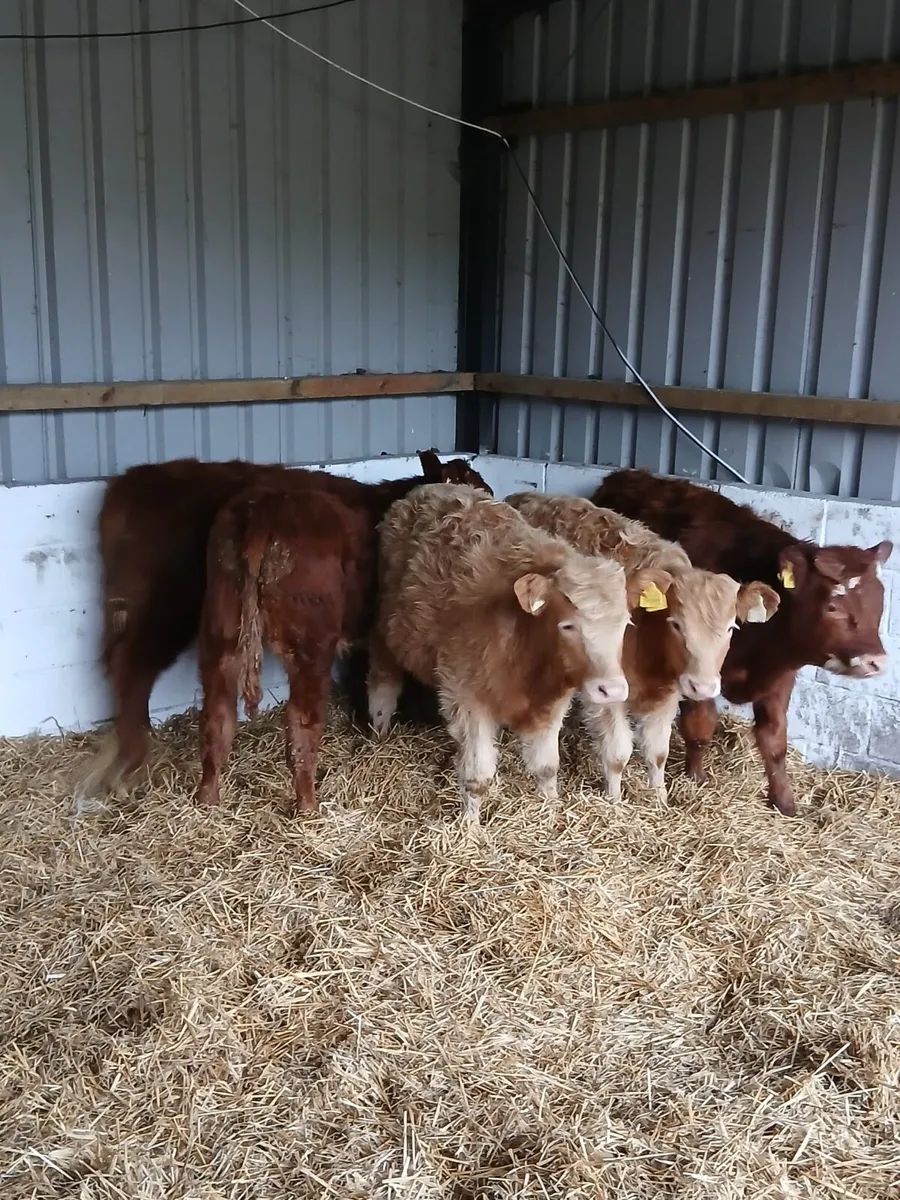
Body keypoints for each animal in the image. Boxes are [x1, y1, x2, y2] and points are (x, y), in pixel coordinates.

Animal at [367, 483, 672, 823]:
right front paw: (469, 827)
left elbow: (547, 767)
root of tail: (433, 487)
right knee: (382, 688)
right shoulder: (467, 698)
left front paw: (550, 810)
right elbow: (477, 777)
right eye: (568, 625)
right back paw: (378, 734)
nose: (613, 690)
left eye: (625, 623)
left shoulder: (551, 705)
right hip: (383, 632)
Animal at [506, 492, 779, 802]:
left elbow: (658, 752)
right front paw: (614, 801)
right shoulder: (609, 693)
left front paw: (659, 798)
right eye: (676, 625)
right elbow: (617, 754)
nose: (702, 687)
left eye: (731, 628)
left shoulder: (667, 695)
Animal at [592, 468, 892, 815]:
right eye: (833, 605)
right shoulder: (698, 675)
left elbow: (774, 741)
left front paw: (784, 801)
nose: (876, 661)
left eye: (880, 601)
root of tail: (626, 474)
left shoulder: (780, 679)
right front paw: (695, 778)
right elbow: (699, 727)